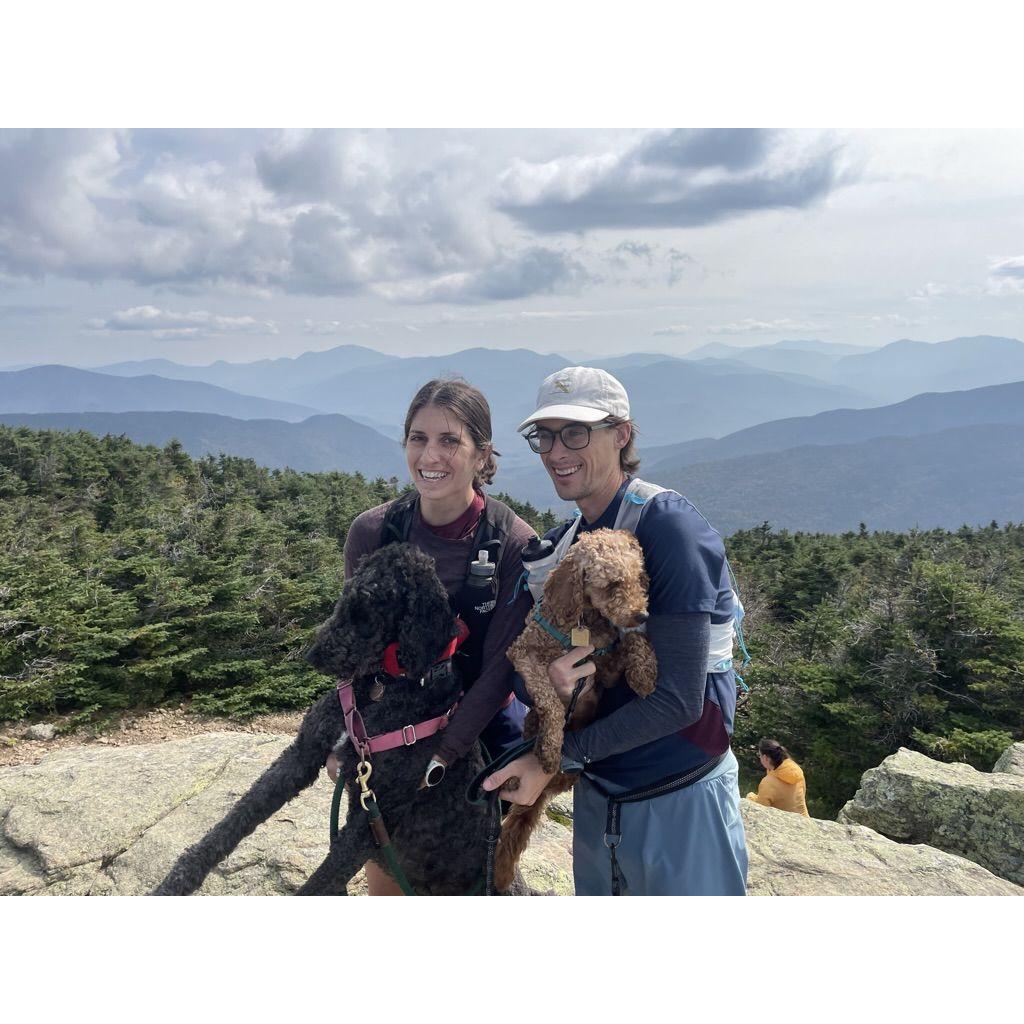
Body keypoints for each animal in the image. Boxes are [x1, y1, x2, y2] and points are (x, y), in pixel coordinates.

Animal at [150, 544, 512, 897]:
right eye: (344, 593)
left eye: (366, 608)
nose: (313, 656)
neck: (382, 686)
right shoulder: (303, 753)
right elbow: (236, 817)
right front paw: (178, 880)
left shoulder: (375, 816)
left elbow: (319, 882)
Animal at [493, 528, 655, 888]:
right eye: (612, 584)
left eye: (638, 577)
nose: (642, 616)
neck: (582, 621)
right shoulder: (523, 654)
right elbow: (550, 700)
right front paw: (552, 748)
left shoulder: (603, 671)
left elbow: (632, 642)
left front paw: (645, 674)